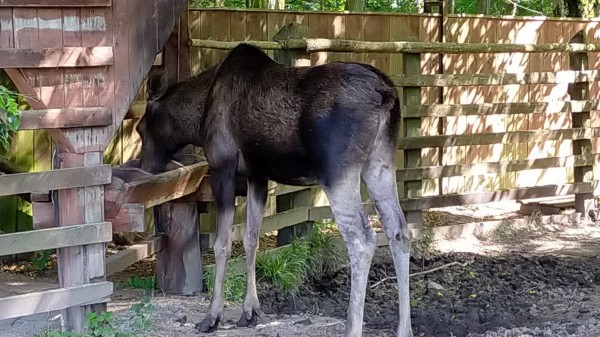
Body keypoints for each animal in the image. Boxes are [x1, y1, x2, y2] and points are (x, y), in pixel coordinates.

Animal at [136, 44, 412, 336]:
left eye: (140, 128)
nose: (146, 166)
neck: (197, 119)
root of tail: (387, 95)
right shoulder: (258, 175)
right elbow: (251, 239)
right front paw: (250, 312)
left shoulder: (223, 166)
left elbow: (222, 244)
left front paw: (212, 316)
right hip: (380, 162)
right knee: (400, 231)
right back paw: (404, 329)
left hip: (336, 170)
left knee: (362, 239)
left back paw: (352, 328)